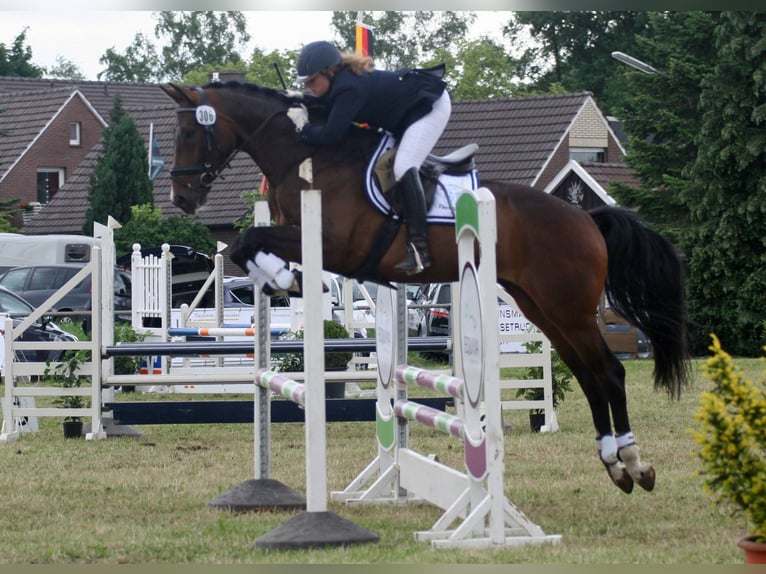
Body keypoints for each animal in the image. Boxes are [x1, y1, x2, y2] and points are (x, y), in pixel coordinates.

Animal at [160, 81, 688, 496]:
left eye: (189, 133)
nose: (180, 198)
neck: (307, 157)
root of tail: (586, 217)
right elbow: (244, 244)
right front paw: (276, 279)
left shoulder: (332, 245)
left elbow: (247, 241)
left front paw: (285, 278)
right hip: (543, 307)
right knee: (588, 375)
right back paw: (615, 465)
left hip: (569, 308)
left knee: (609, 373)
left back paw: (634, 463)